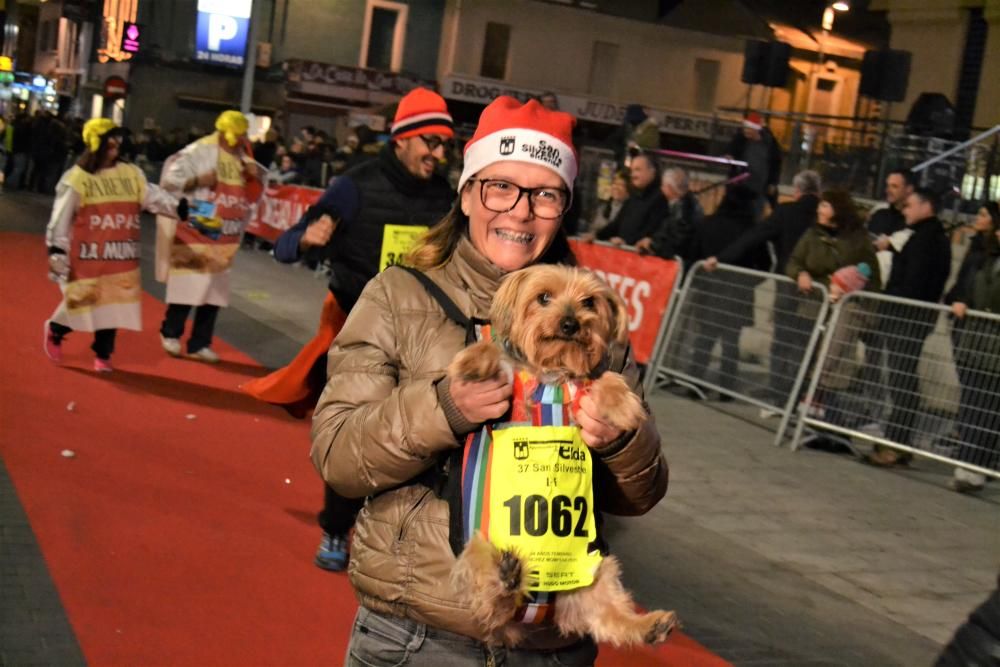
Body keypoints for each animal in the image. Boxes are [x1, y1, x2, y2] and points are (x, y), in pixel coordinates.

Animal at [452, 264, 680, 648]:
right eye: (543, 297)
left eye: (589, 302)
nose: (572, 323)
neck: (553, 373)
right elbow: (495, 355)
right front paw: (474, 361)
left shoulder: (586, 382)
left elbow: (607, 378)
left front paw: (620, 405)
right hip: (474, 548)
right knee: (491, 604)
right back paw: (506, 578)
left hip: (599, 569)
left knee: (608, 617)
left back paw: (650, 626)